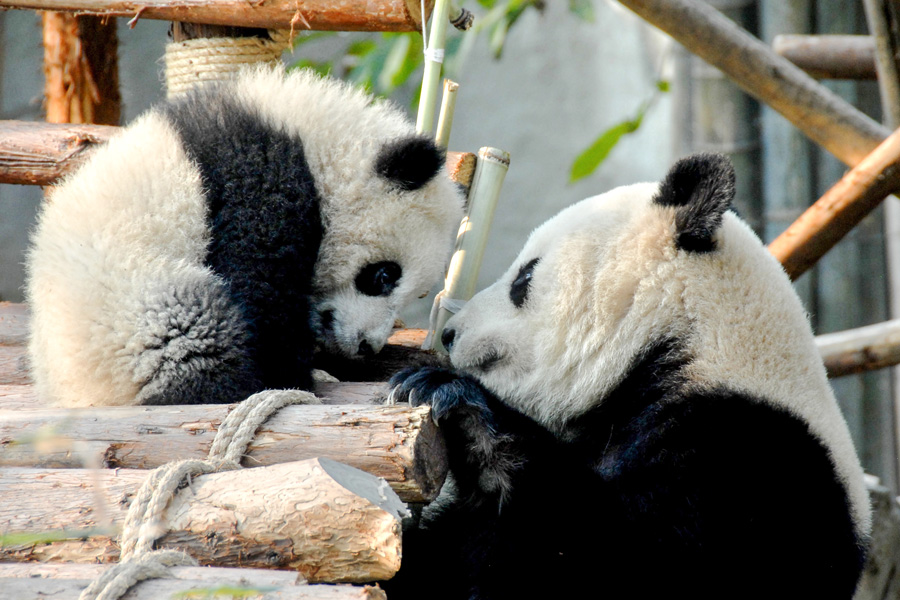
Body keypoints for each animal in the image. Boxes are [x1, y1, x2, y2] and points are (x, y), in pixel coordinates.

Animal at [26, 65, 464, 408]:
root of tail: (71, 393)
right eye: (383, 275)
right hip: (128, 315)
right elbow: (260, 282)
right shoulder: (260, 175)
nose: (365, 346)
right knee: (193, 334)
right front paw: (292, 374)